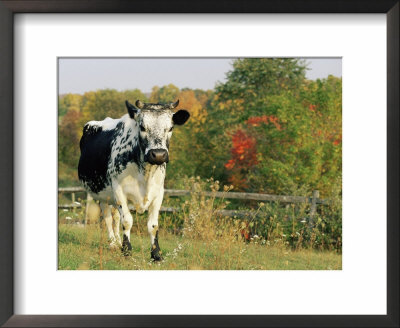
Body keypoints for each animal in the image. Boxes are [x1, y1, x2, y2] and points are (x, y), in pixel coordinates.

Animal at [79, 98, 191, 260]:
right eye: (142, 127)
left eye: (170, 128)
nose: (158, 155)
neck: (146, 174)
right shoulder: (119, 189)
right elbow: (127, 221)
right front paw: (127, 250)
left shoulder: (159, 192)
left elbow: (153, 225)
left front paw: (156, 254)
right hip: (102, 194)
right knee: (107, 217)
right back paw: (113, 244)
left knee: (115, 217)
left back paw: (118, 241)